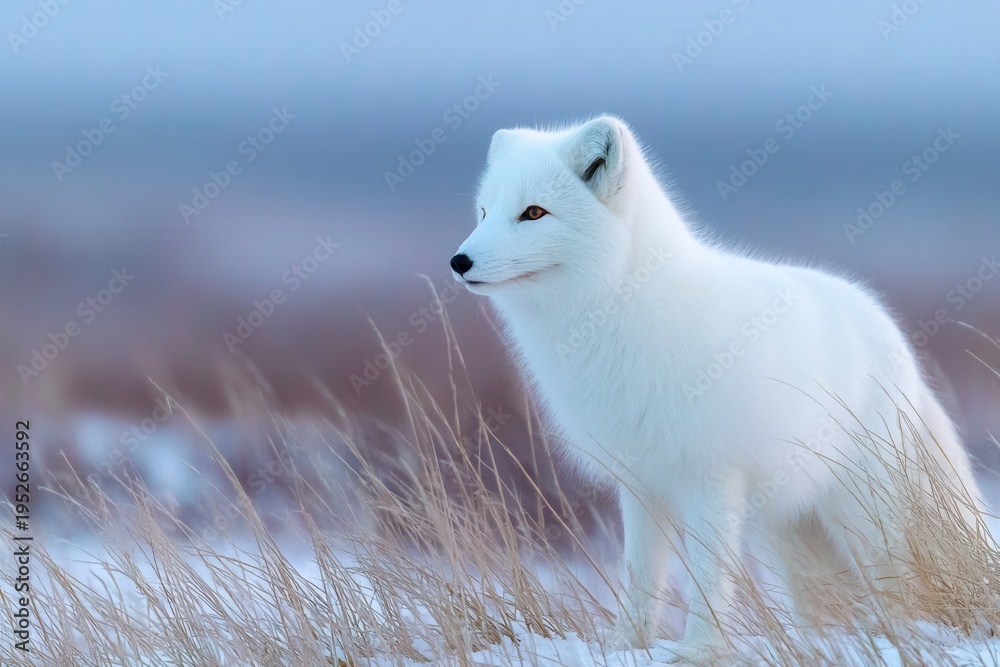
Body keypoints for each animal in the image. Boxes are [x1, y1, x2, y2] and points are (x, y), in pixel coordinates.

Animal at [449, 115, 986, 662]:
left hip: (861, 512)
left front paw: (698, 649)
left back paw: (899, 637)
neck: (619, 312)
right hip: (789, 527)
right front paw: (625, 643)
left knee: (896, 584)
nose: (459, 261)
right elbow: (640, 574)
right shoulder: (640, 480)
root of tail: (891, 332)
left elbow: (708, 573)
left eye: (533, 213)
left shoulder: (712, 475)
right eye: (484, 212)